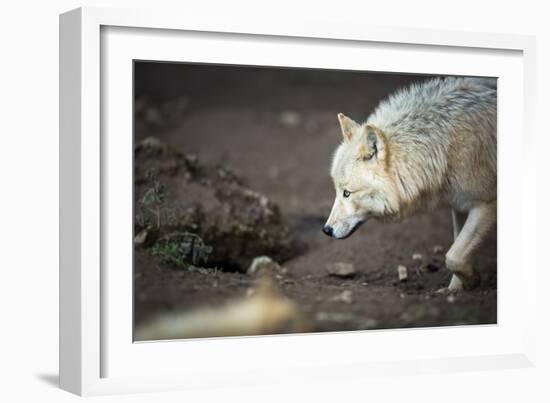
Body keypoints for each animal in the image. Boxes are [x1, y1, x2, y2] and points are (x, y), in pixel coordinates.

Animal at [324, 76, 500, 292]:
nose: (326, 230)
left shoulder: (487, 204)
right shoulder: (459, 206)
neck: (444, 149)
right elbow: (458, 250)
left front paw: (471, 281)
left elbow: (453, 256)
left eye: (347, 193)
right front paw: (456, 290)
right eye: (337, 191)